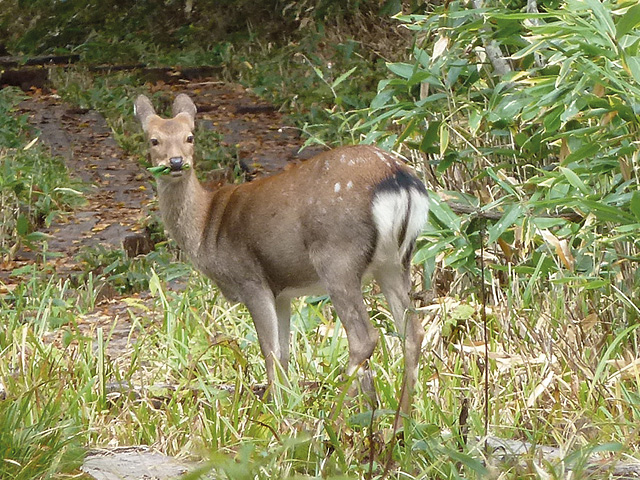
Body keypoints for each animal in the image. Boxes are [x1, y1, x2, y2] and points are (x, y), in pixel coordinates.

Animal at [132, 94, 428, 416]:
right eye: (153, 140)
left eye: (190, 137)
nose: (176, 162)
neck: (205, 228)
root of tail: (399, 181)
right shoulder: (282, 291)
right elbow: (285, 353)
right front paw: (286, 407)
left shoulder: (250, 278)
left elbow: (269, 351)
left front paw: (274, 415)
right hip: (396, 262)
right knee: (412, 333)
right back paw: (401, 419)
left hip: (337, 257)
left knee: (364, 337)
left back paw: (336, 417)